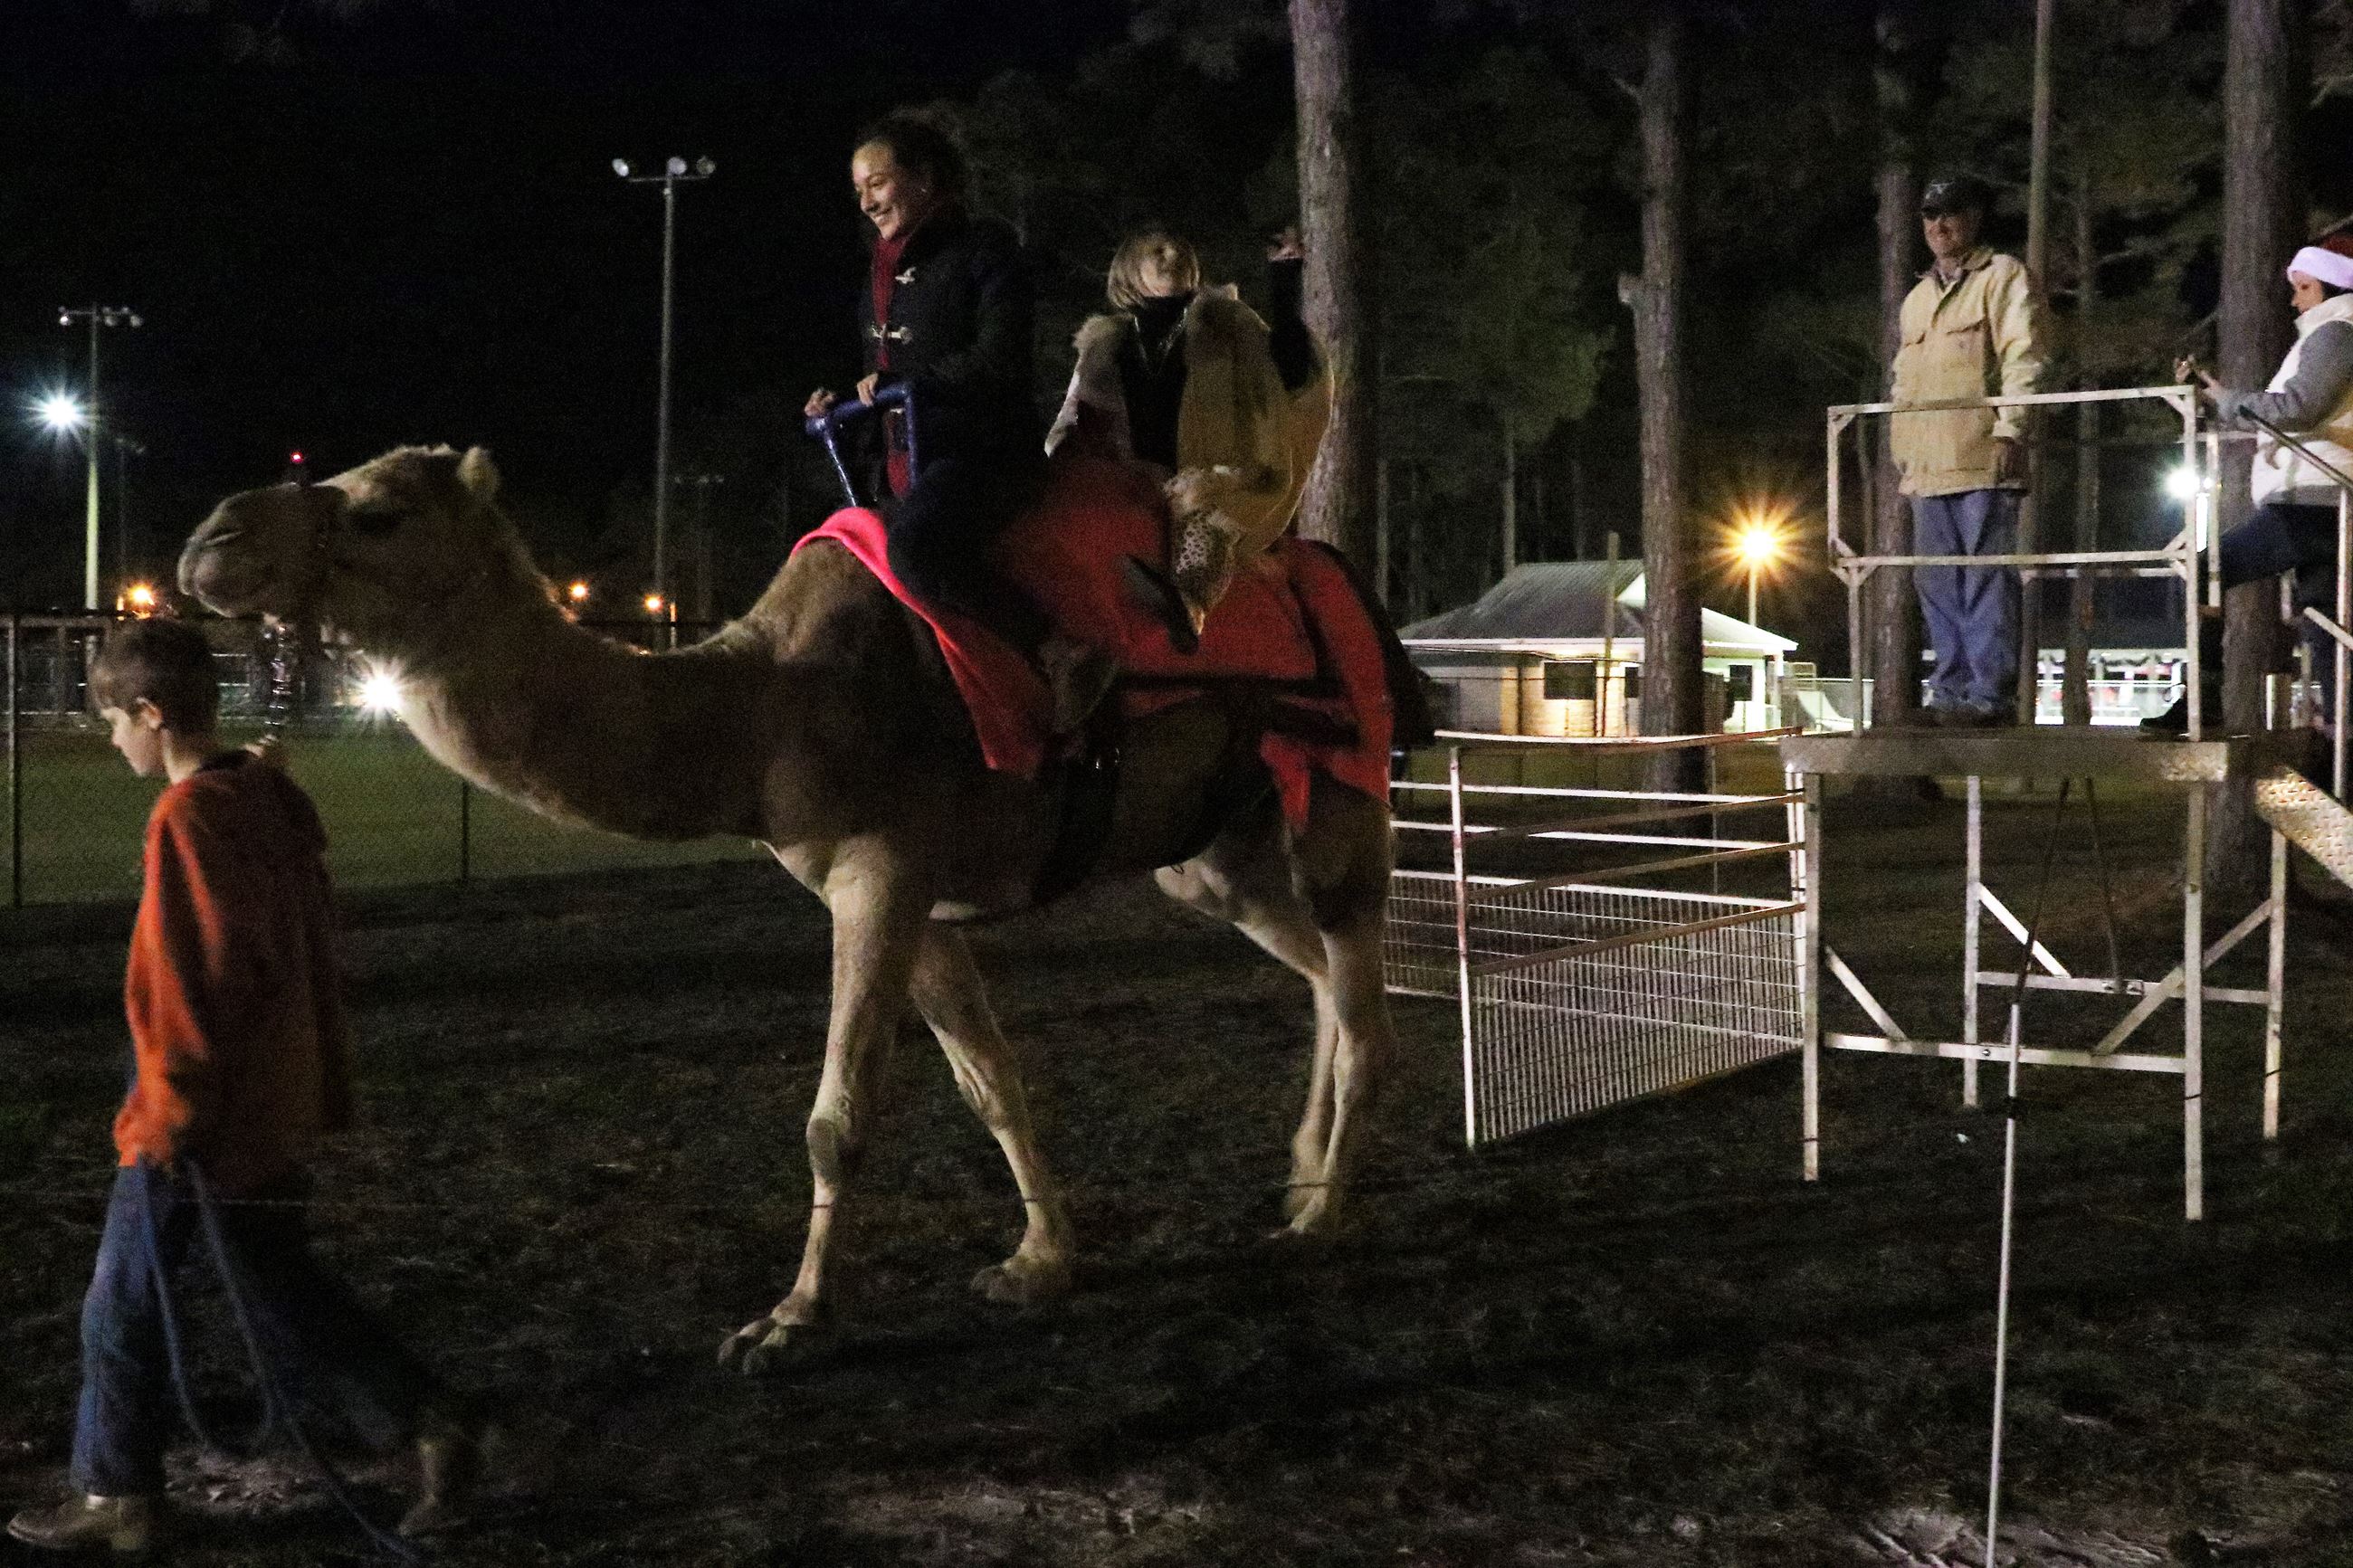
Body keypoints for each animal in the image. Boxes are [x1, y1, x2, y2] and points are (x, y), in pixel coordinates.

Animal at [178, 445, 1398, 1372]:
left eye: (377, 511)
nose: (210, 542)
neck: (759, 706)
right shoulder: (917, 902)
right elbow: (990, 1084)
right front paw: (1041, 1258)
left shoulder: (879, 874)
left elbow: (835, 1115)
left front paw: (789, 1320)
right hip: (1213, 854)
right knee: (1312, 973)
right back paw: (1299, 1177)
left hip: (1343, 792)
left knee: (1361, 1000)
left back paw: (1326, 1213)